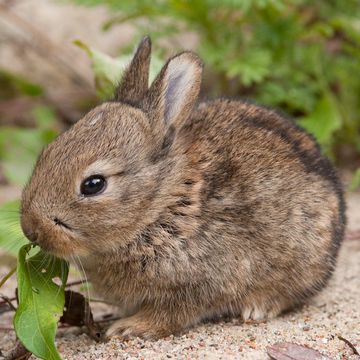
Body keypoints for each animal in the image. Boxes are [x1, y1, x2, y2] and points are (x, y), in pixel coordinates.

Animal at [20, 35, 346, 338]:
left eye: (93, 185)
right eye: (46, 153)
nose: (31, 230)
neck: (161, 206)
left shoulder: (200, 282)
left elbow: (172, 314)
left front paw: (128, 328)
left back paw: (257, 308)